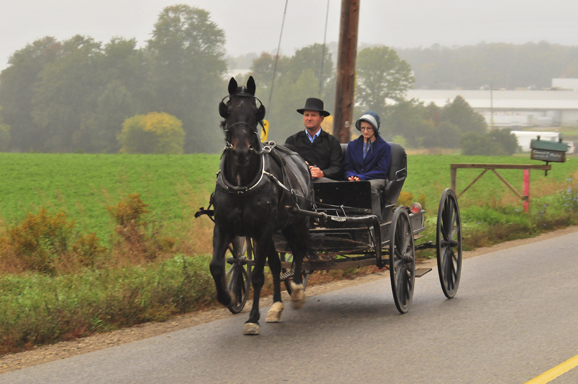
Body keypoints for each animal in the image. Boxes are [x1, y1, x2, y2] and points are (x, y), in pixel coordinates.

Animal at [209, 76, 312, 334]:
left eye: (256, 113)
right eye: (228, 112)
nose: (241, 152)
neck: (242, 185)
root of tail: (301, 161)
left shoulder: (263, 229)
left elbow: (256, 275)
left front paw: (253, 319)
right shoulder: (225, 227)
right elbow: (217, 265)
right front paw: (227, 297)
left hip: (296, 222)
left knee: (299, 251)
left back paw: (297, 290)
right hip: (275, 231)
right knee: (276, 264)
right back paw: (276, 307)